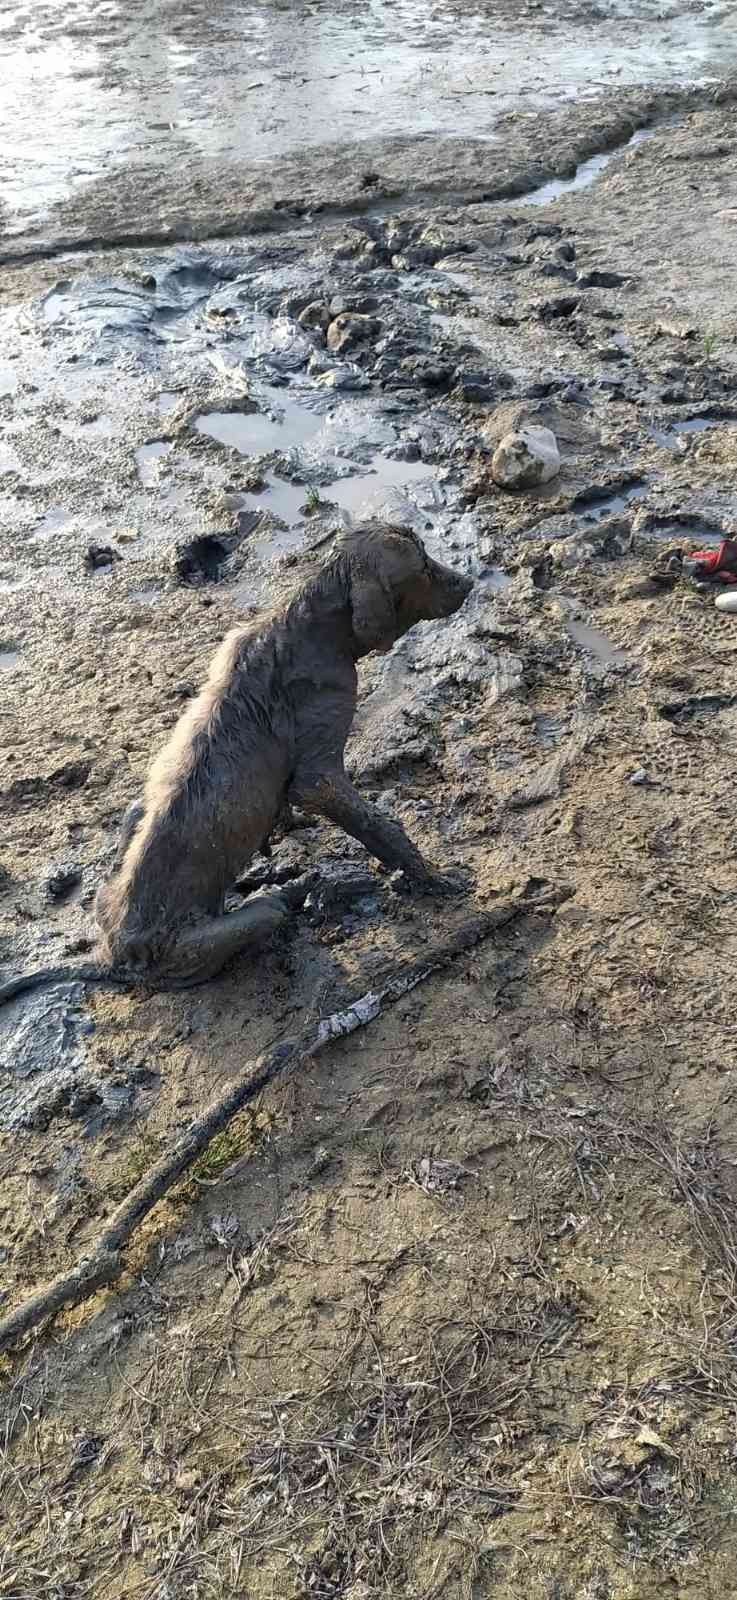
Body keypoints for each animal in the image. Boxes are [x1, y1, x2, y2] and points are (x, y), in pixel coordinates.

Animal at [0, 518, 470, 1004]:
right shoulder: (319, 776)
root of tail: (113, 957)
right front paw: (433, 878)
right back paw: (292, 894)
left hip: (127, 833)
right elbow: (379, 825)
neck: (312, 623)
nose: (468, 583)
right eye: (422, 567)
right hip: (202, 941)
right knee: (260, 917)